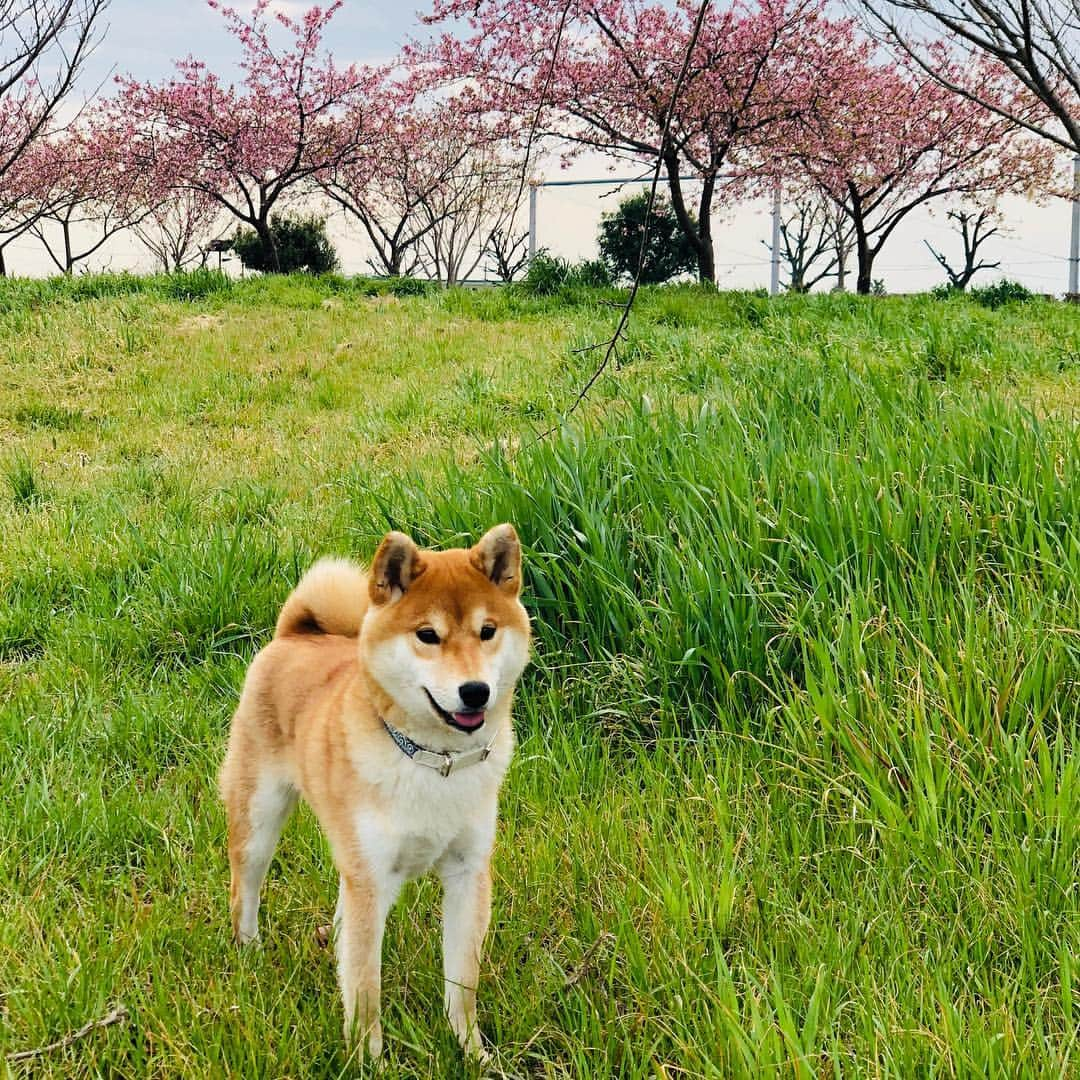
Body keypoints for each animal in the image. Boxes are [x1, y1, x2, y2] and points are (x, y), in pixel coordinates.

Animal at [221, 527, 533, 1058]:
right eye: (427, 635)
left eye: (487, 631)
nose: (475, 691)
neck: (433, 761)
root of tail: (297, 633)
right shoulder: (372, 878)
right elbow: (366, 986)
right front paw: (369, 1058)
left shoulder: (467, 872)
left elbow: (462, 982)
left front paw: (470, 1049)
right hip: (260, 819)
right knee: (247, 887)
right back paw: (249, 953)